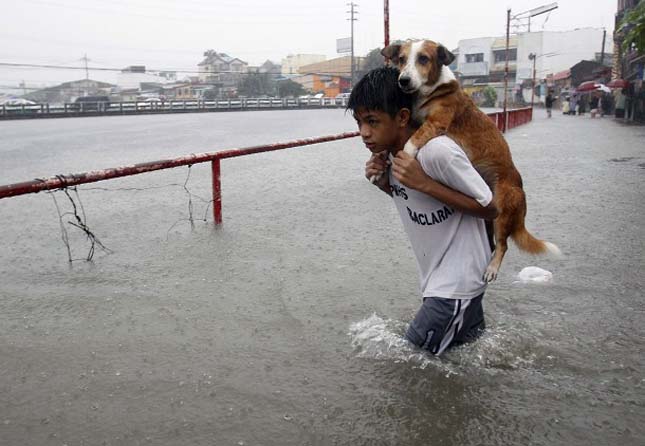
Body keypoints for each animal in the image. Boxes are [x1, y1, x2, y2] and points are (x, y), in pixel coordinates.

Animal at [382, 40, 560, 280]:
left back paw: (492, 268)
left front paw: (405, 157)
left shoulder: (435, 123)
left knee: (504, 245)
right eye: (401, 59)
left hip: (502, 209)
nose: (403, 80)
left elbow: (412, 141)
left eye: (423, 59)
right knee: (493, 241)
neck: (431, 90)